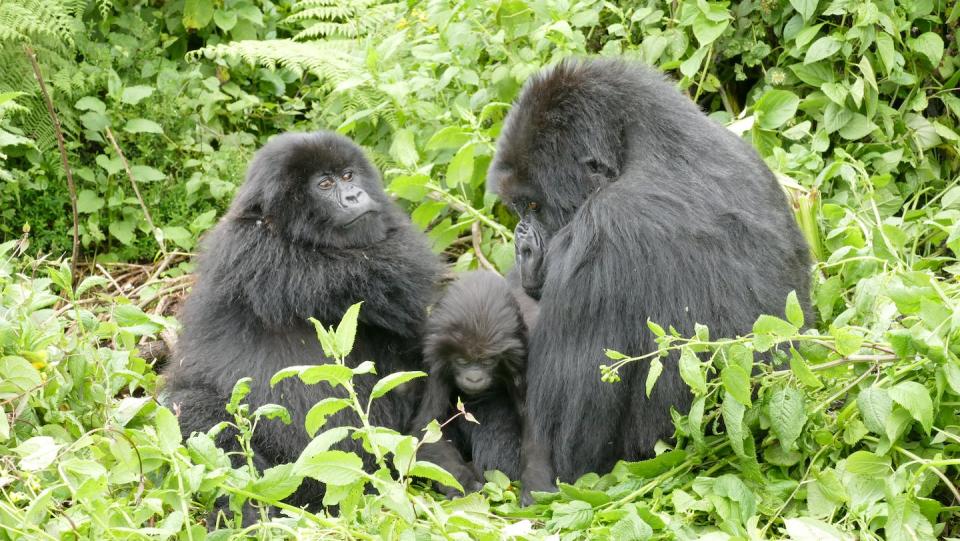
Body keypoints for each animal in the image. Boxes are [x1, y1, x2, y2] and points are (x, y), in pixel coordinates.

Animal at [165, 131, 442, 524]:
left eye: (348, 175)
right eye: (324, 185)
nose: (355, 195)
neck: (285, 231)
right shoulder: (264, 253)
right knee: (190, 409)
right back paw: (253, 512)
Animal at [408, 272, 536, 496]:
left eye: (487, 362)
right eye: (462, 361)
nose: (474, 378)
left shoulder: (520, 364)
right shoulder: (435, 365)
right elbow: (428, 428)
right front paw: (461, 481)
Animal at [492, 59, 812, 498]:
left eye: (535, 207)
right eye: (518, 209)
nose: (521, 244)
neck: (643, 143)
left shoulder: (603, 233)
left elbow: (562, 458)